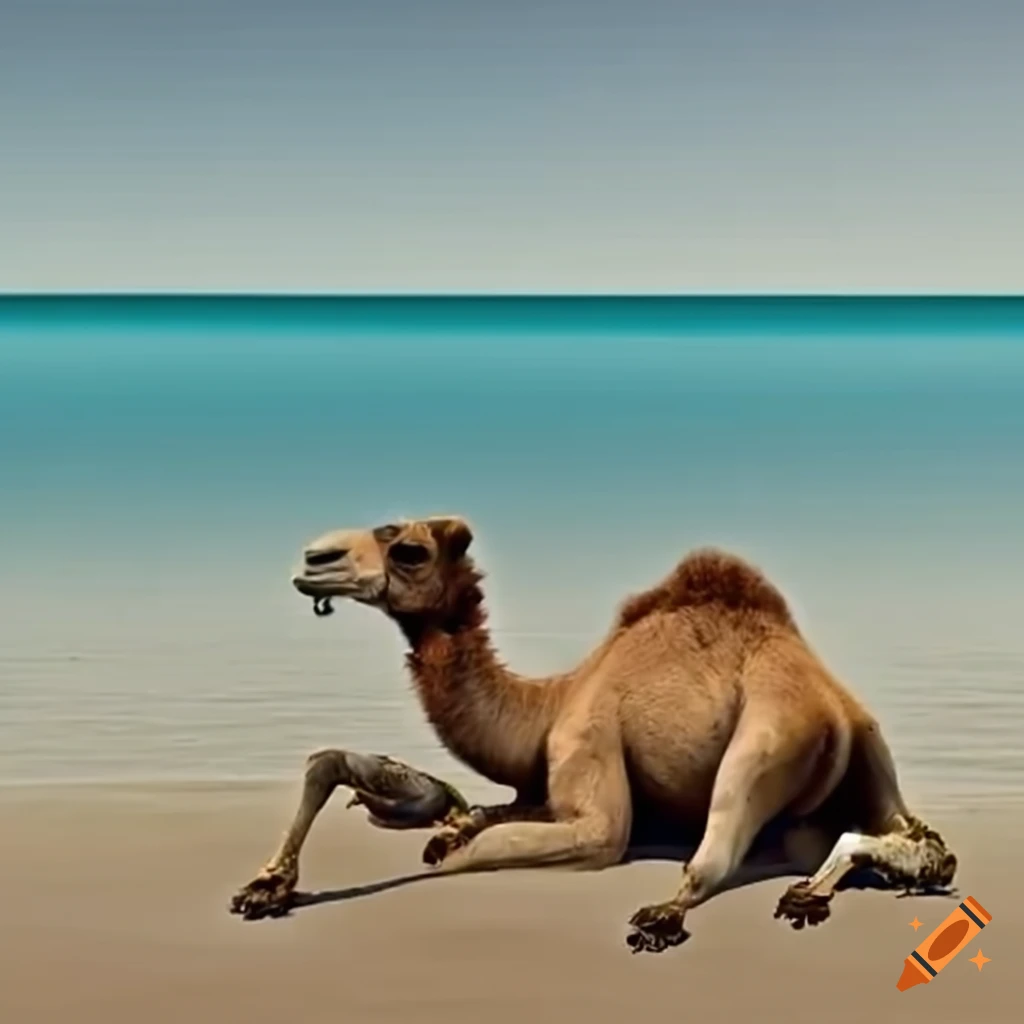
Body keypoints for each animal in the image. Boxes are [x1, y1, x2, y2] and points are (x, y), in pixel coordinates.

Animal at [230, 515, 957, 952]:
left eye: (409, 549)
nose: (314, 558)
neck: (549, 702)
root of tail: (833, 711)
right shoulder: (529, 787)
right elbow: (453, 816)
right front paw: (268, 886)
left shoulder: (586, 757)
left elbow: (466, 856)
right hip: (871, 750)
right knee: (923, 845)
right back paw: (811, 891)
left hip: (769, 734)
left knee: (717, 853)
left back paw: (663, 918)